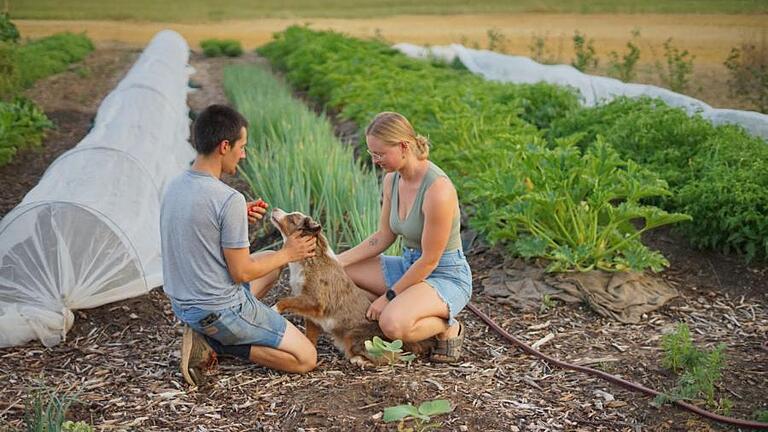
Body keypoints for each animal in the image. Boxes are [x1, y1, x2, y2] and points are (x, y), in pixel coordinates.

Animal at [270, 208, 432, 366]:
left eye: (292, 218)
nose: (274, 208)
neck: (310, 259)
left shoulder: (314, 300)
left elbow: (285, 300)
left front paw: (274, 309)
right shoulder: (312, 314)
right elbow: (310, 338)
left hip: (353, 335)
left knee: (388, 356)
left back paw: (359, 360)